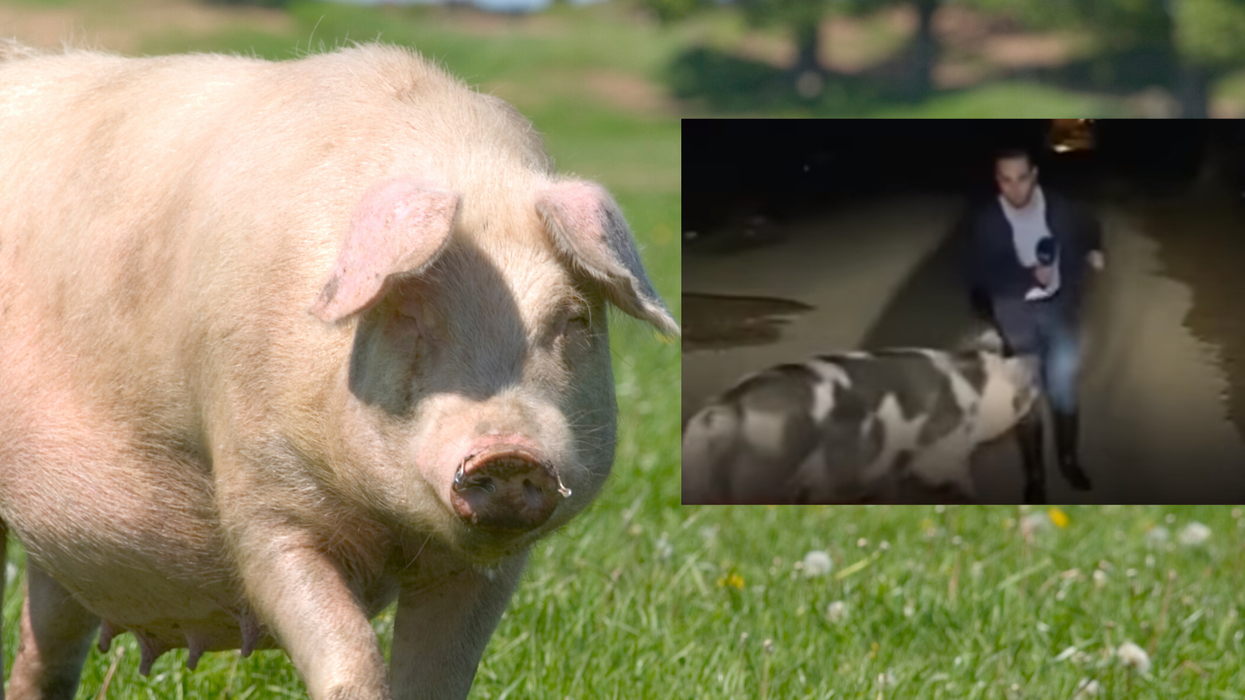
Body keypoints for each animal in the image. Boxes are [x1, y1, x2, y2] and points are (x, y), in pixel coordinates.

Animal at [0, 40, 678, 699]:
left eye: (573, 320)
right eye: (408, 314)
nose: (509, 454)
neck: (390, 525)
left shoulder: (489, 564)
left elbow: (436, 679)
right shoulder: (262, 497)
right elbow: (348, 656)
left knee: (45, 651)